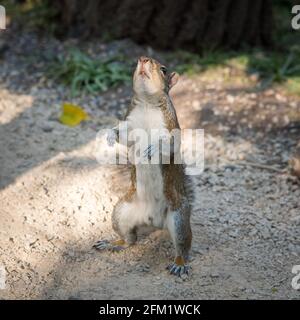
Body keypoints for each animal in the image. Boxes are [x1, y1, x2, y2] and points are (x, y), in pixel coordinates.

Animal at [94, 56, 192, 276]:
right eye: (135, 62)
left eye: (164, 69)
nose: (143, 59)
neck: (147, 103)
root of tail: (155, 221)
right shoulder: (129, 123)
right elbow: (122, 136)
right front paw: (110, 135)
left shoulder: (170, 126)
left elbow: (171, 144)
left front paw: (153, 148)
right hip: (121, 212)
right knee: (130, 239)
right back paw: (114, 243)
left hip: (178, 219)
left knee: (183, 245)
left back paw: (180, 264)